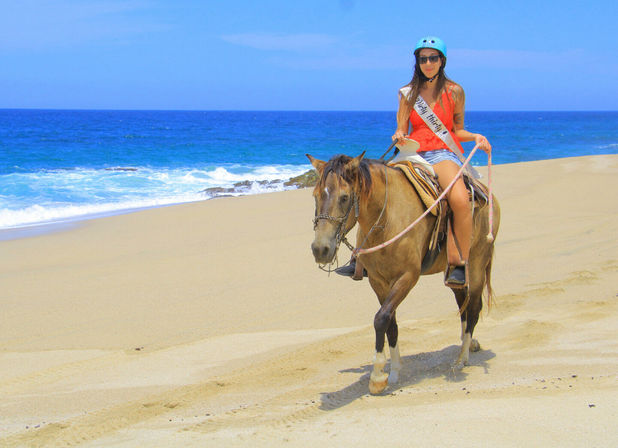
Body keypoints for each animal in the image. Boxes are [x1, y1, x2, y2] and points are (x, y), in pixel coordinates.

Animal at [306, 152, 498, 394]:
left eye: (344, 197)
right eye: (315, 196)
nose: (320, 249)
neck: (387, 218)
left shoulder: (407, 277)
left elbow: (381, 318)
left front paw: (378, 376)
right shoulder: (378, 281)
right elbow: (391, 322)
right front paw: (395, 371)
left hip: (478, 263)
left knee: (473, 307)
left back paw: (461, 359)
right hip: (454, 273)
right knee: (462, 302)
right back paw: (468, 343)